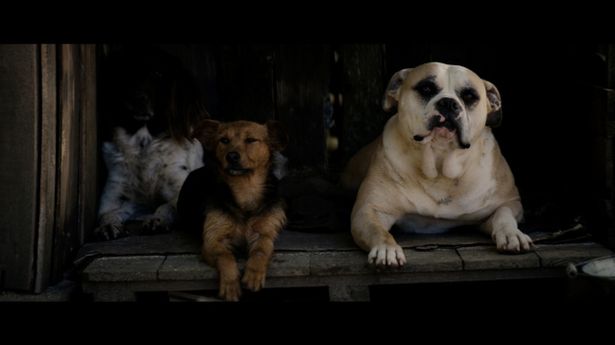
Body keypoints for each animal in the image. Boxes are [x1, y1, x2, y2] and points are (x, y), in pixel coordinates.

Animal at [178, 119, 288, 300]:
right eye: (224, 140)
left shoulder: (265, 233)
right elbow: (225, 256)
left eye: (250, 140)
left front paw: (254, 273)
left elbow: (261, 250)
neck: (245, 189)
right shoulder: (212, 240)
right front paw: (230, 284)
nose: (232, 156)